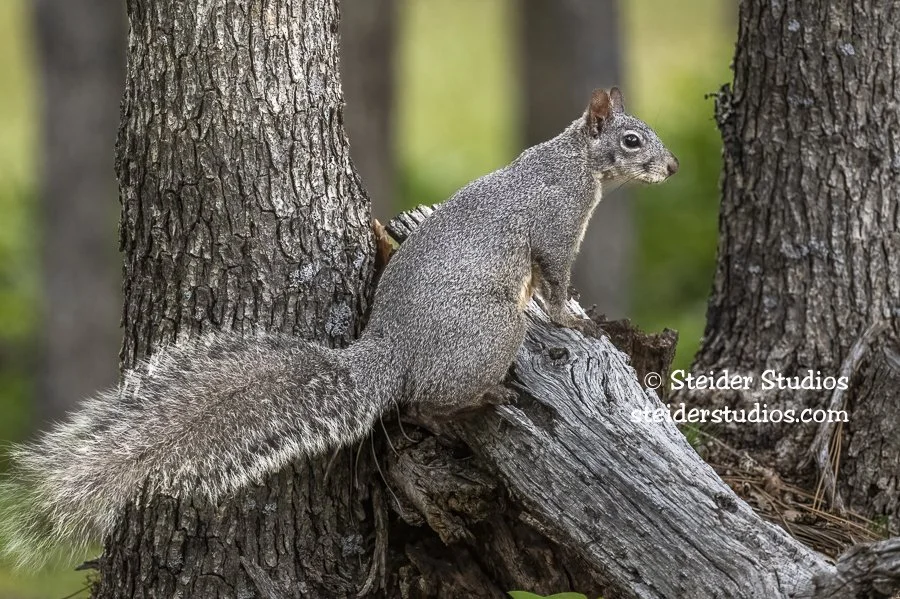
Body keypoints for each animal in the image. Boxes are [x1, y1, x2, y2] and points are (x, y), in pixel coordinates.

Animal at [0, 87, 677, 568]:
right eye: (632, 140)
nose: (669, 167)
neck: (572, 165)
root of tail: (392, 354)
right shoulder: (555, 232)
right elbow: (555, 286)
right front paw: (574, 322)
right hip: (490, 334)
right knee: (426, 405)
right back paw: (485, 399)